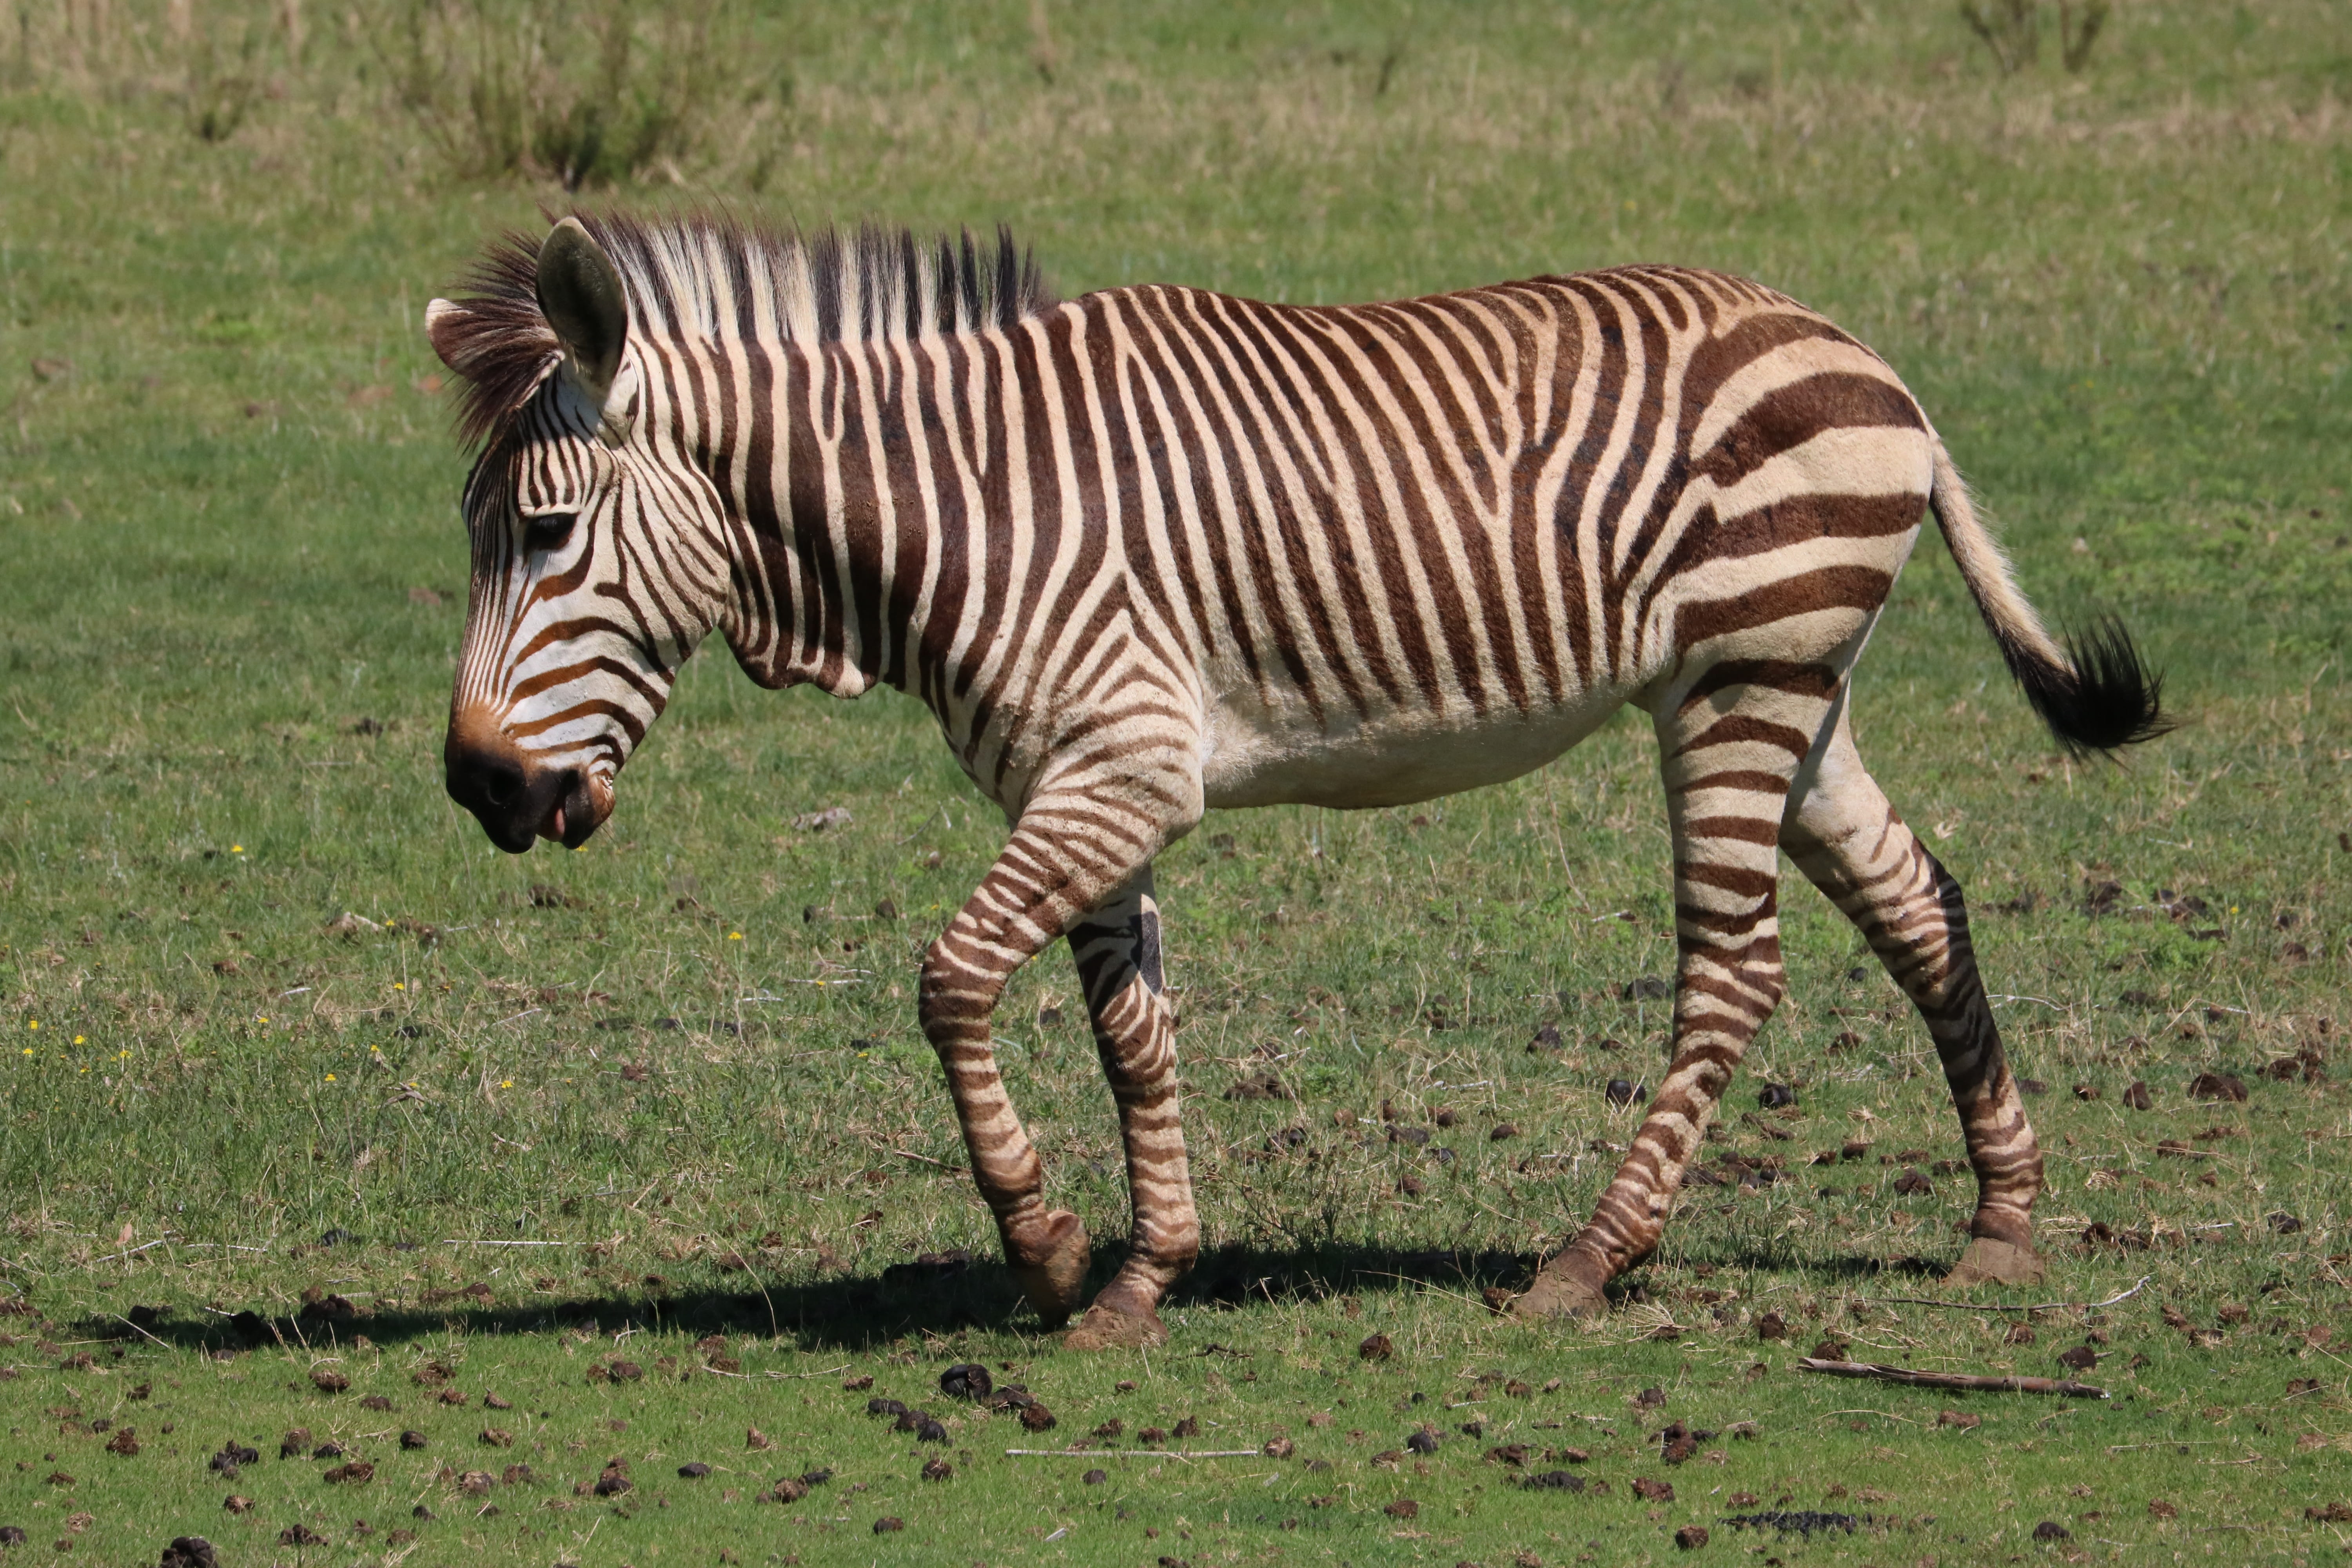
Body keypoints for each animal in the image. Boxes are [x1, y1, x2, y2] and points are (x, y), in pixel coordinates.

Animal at [427, 212, 2164, 1346]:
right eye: (477, 533)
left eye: (550, 533)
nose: (476, 788)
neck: (963, 510)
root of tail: (1869, 360)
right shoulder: (1089, 778)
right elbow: (1130, 1031)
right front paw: (1143, 1276)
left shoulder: (1126, 766)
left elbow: (950, 977)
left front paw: (1046, 1247)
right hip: (1790, 688)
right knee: (1919, 901)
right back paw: (2003, 1222)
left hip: (1746, 681)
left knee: (1735, 971)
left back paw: (1589, 1263)